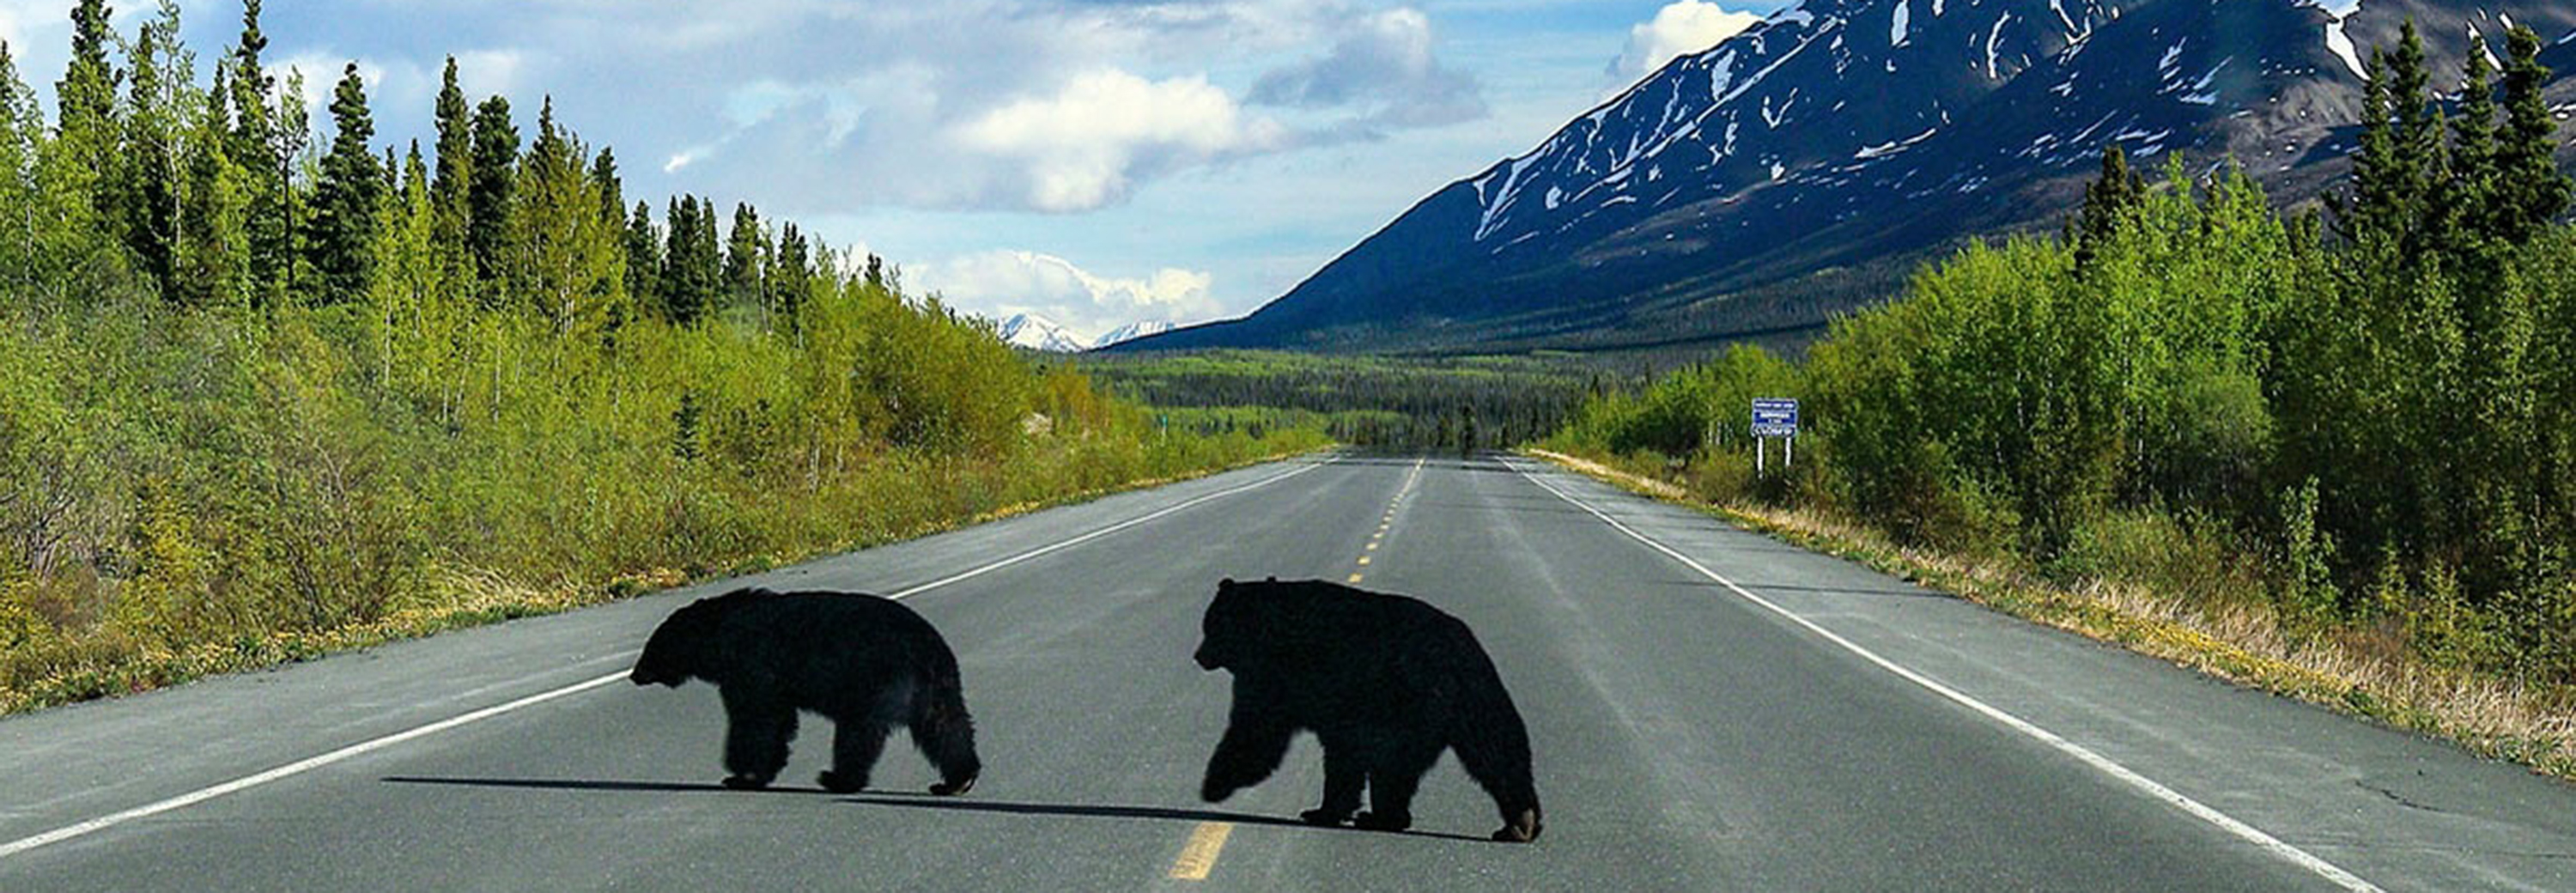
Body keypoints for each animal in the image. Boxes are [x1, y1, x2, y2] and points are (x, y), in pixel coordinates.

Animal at [631, 587, 981, 796]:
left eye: (652, 647)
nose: (635, 674)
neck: (718, 633)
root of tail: (928, 647)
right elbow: (779, 722)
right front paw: (758, 773)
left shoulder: (751, 665)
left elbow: (754, 720)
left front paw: (740, 775)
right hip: (937, 689)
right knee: (947, 727)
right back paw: (957, 780)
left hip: (873, 681)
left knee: (858, 734)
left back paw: (839, 779)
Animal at [1192, 577, 1543, 843]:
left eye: (1210, 625)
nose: (1199, 656)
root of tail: (1455, 655)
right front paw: (1327, 809)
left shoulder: (1276, 673)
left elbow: (1258, 731)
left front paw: (1214, 785)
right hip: (1476, 697)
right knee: (1497, 749)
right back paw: (1520, 822)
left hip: (1405, 703)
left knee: (1392, 764)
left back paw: (1381, 817)